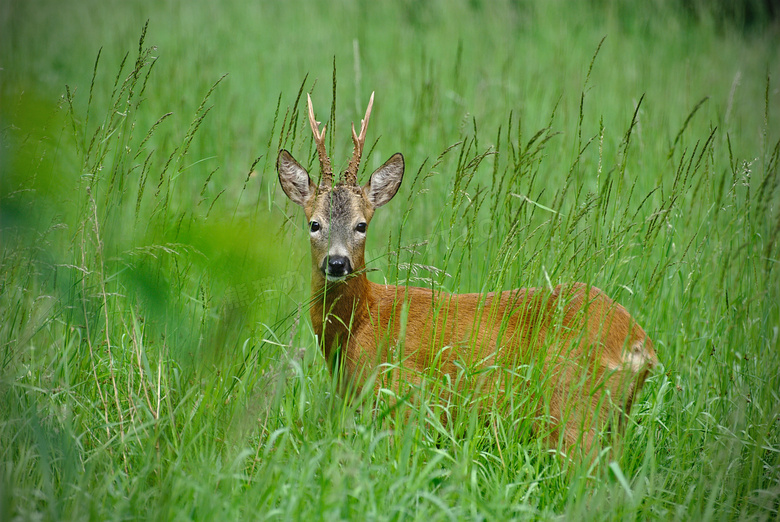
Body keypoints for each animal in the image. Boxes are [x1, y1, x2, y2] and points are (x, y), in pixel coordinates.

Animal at [278, 93, 656, 456]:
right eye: (314, 224)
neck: (362, 322)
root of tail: (639, 344)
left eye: (361, 225)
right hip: (614, 419)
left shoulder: (403, 398)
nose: (337, 263)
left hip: (572, 407)